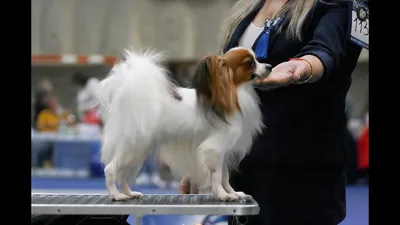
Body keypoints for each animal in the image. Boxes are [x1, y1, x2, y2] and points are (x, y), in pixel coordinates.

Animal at [98, 47, 270, 200]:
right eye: (249, 62)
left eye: (257, 59)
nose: (269, 66)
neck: (234, 91)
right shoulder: (213, 149)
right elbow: (217, 176)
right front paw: (223, 195)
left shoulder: (223, 152)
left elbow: (225, 177)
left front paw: (233, 193)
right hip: (133, 147)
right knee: (110, 169)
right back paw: (116, 195)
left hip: (137, 151)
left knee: (121, 173)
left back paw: (128, 193)